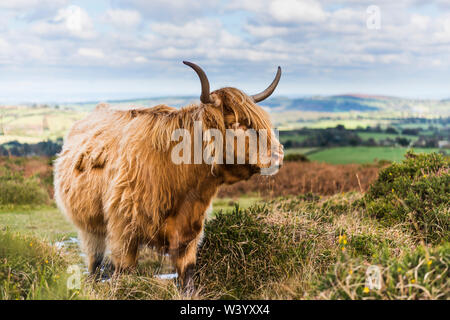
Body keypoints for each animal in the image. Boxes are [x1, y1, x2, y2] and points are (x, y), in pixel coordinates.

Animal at [53, 61, 284, 292]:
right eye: (237, 124)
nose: (278, 154)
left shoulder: (188, 232)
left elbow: (187, 275)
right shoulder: (123, 229)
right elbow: (123, 272)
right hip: (90, 226)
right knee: (95, 260)